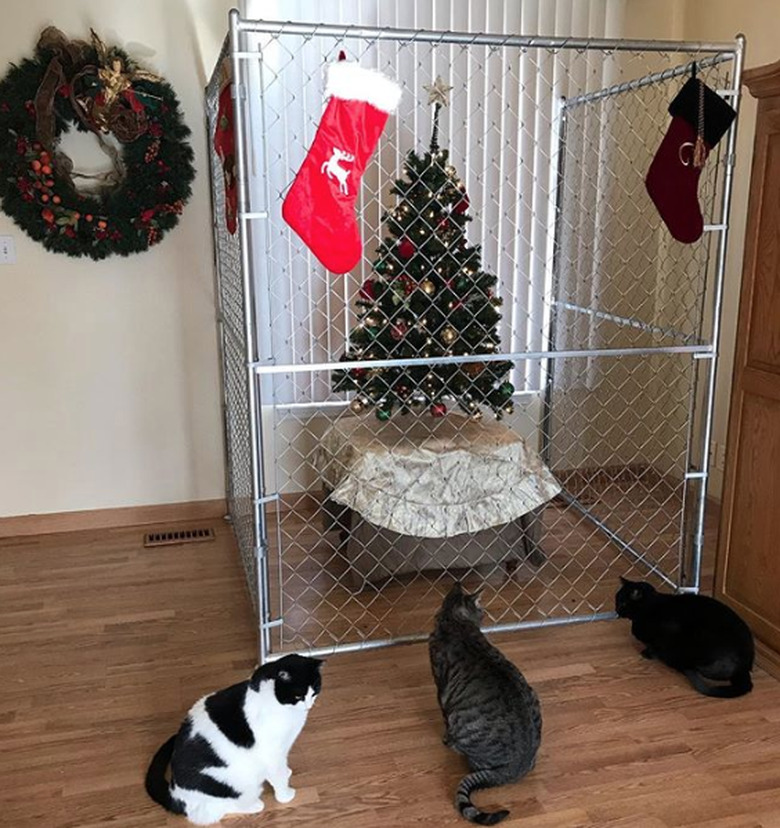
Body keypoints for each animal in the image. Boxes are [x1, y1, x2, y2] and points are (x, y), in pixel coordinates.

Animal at [145, 656, 322, 824]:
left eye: (314, 692)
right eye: (298, 696)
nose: (308, 705)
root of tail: (175, 794)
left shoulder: (282, 749)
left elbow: (281, 768)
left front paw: (286, 772)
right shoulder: (271, 753)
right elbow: (277, 776)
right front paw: (285, 795)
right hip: (235, 785)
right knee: (212, 812)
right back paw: (254, 805)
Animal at [426, 580, 544, 824]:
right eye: (482, 610)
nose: (486, 614)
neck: (456, 622)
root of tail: (513, 769)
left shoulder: (441, 689)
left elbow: (443, 715)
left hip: (461, 724)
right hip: (534, 696)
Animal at [616, 576, 756, 700]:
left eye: (622, 603)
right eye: (616, 600)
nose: (616, 610)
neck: (650, 607)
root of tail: (744, 668)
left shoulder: (667, 632)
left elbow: (655, 646)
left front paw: (647, 653)